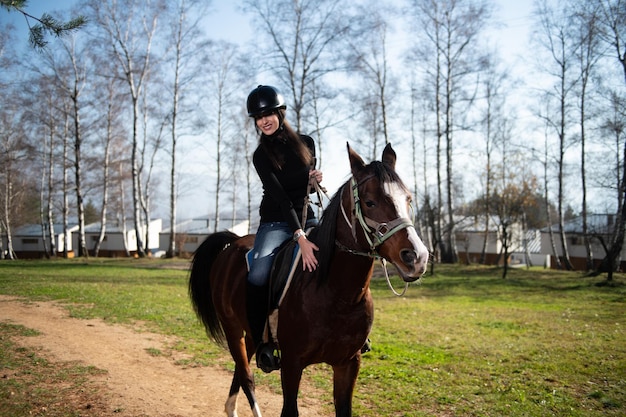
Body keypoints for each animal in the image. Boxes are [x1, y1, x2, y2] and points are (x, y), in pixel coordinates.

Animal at [188, 143, 426, 416]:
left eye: (408, 198)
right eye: (370, 202)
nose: (416, 257)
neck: (336, 293)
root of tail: (233, 242)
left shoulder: (348, 363)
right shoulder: (292, 363)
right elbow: (289, 409)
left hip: (250, 332)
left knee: (241, 371)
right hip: (232, 329)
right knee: (247, 378)